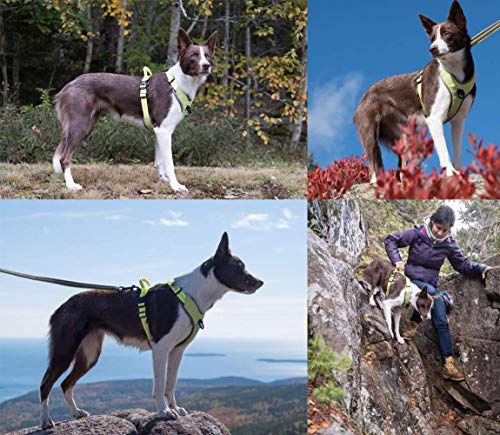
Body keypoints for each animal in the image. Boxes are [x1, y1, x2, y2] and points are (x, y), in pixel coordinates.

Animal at [39, 235, 264, 430]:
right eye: (239, 267)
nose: (260, 282)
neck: (193, 293)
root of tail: (61, 307)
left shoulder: (177, 351)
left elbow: (171, 384)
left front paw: (175, 408)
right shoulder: (161, 349)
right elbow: (160, 384)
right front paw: (164, 412)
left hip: (90, 354)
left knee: (66, 384)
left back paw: (77, 413)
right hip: (65, 351)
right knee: (46, 384)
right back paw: (46, 421)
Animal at [53, 27, 217, 191]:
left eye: (208, 56)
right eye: (193, 55)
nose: (206, 65)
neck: (178, 83)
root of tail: (68, 86)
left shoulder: (159, 130)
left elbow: (159, 161)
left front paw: (163, 179)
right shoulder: (164, 130)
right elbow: (169, 163)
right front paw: (175, 186)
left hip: (86, 125)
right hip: (79, 125)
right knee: (64, 158)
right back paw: (71, 185)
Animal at [354, 0, 474, 183]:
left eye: (447, 34)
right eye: (432, 38)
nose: (432, 49)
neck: (454, 71)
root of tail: (364, 95)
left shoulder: (459, 120)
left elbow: (457, 150)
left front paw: (458, 172)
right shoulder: (434, 118)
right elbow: (444, 150)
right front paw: (450, 172)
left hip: (404, 137)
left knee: (401, 167)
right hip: (369, 132)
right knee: (373, 164)